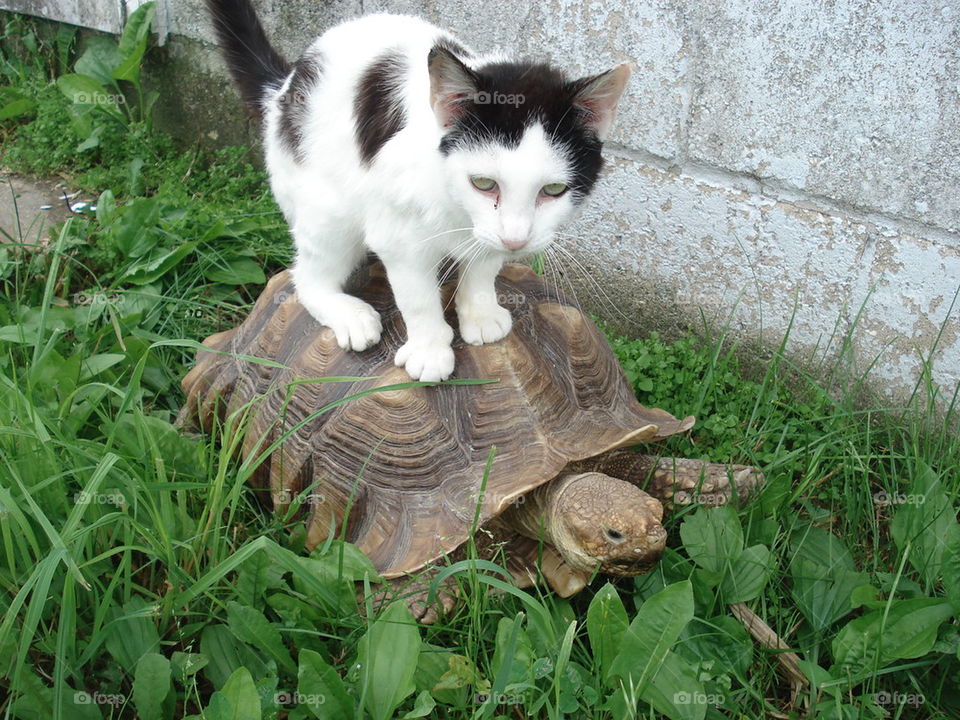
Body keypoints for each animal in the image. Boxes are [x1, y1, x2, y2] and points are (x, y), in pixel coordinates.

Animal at [207, 0, 632, 382]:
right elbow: (417, 296)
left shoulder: (488, 231)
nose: (516, 241)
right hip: (325, 206)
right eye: (483, 183)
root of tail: (283, 88)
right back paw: (348, 313)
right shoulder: (395, 232)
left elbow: (484, 263)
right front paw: (429, 350)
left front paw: (480, 312)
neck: (455, 204)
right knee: (306, 276)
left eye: (554, 189)